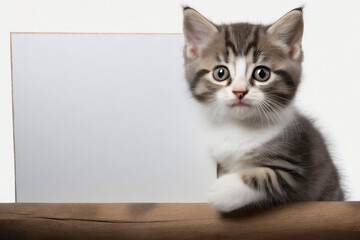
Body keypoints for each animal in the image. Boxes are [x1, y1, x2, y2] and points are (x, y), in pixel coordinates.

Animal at [183, 6, 346, 212]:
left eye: (262, 74)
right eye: (220, 73)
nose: (239, 92)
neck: (240, 127)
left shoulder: (298, 169)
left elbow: (266, 176)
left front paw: (223, 190)